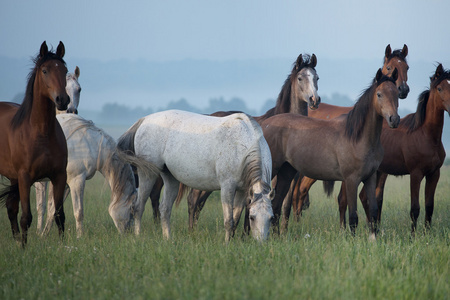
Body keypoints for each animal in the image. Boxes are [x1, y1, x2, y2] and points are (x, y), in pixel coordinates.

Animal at [0, 41, 69, 246]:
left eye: (65, 70)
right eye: (45, 70)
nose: (63, 99)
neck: (41, 133)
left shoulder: (59, 176)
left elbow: (59, 215)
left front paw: (64, 247)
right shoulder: (25, 178)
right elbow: (26, 217)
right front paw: (24, 248)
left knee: (11, 207)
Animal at [118, 110, 274, 241]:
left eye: (271, 218)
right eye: (252, 217)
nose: (261, 243)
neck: (242, 142)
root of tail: (146, 119)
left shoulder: (242, 191)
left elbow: (235, 219)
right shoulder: (227, 187)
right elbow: (228, 220)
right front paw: (227, 244)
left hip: (170, 178)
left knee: (165, 209)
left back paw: (168, 239)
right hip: (148, 175)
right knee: (138, 207)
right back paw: (138, 236)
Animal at [148, 52, 320, 229]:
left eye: (316, 78)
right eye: (300, 78)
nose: (314, 100)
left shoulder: (290, 176)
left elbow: (285, 206)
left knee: (198, 202)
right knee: (193, 199)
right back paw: (191, 231)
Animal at [262, 68, 400, 237]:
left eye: (396, 93)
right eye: (379, 94)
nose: (394, 119)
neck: (358, 137)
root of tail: (265, 125)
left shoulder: (370, 178)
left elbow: (373, 212)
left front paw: (373, 239)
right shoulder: (351, 180)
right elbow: (353, 216)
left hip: (286, 172)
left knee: (276, 205)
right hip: (272, 169)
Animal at [288, 45, 412, 223]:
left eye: (407, 67)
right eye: (389, 67)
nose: (403, 89)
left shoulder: (378, 173)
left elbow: (375, 201)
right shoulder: (353, 176)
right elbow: (349, 201)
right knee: (299, 192)